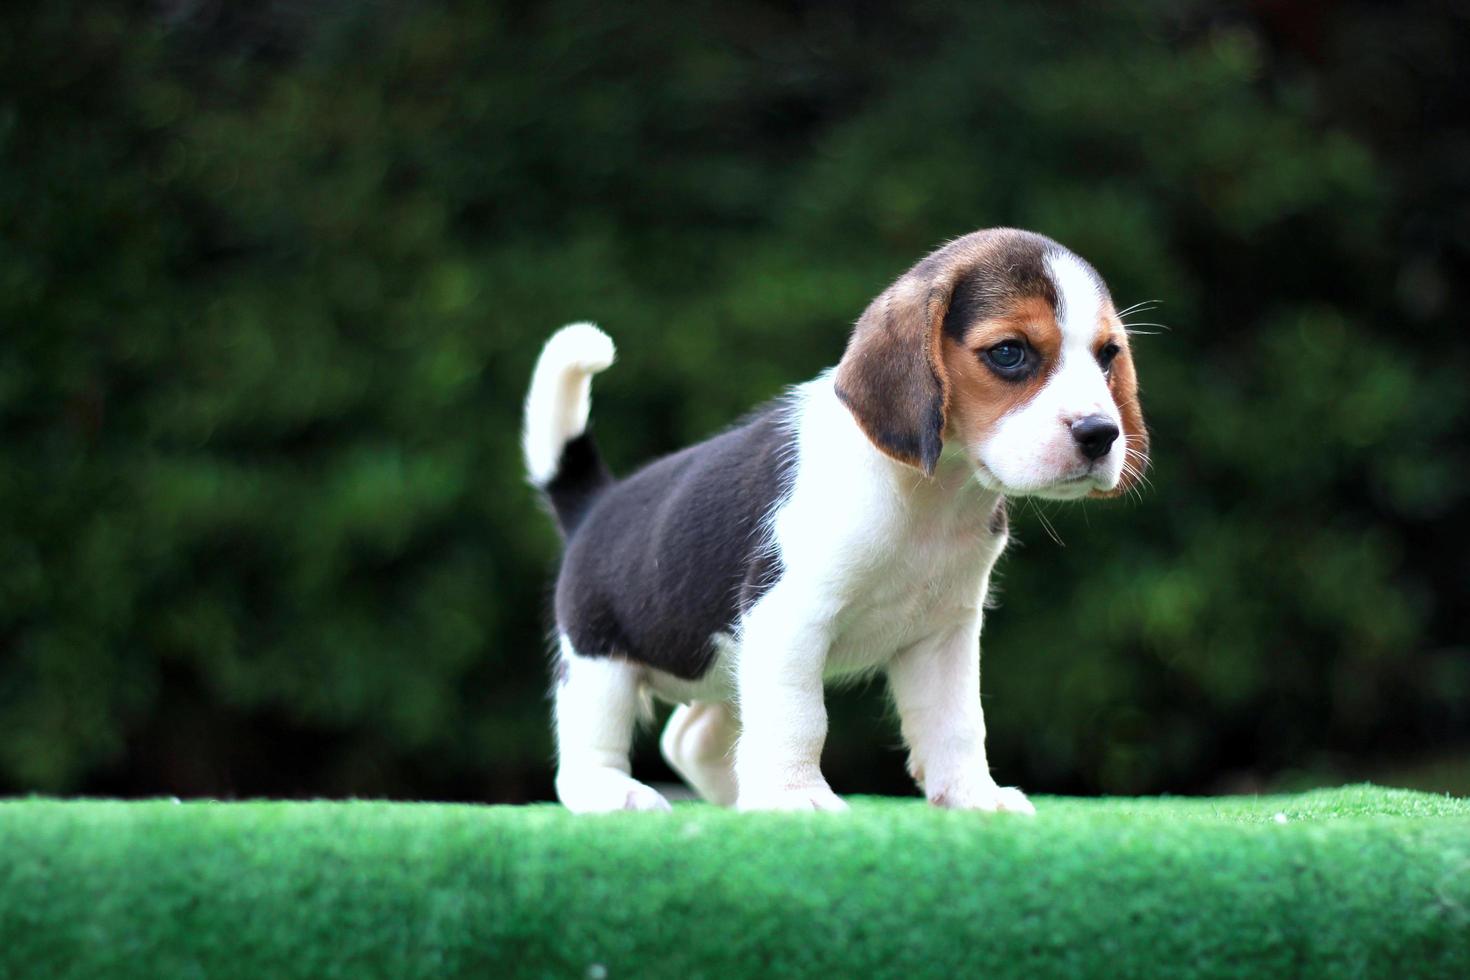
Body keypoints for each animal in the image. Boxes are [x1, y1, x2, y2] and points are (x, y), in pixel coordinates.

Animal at [526, 227, 1146, 811]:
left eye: (1108, 355)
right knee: (586, 754)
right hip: (598, 662)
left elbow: (958, 724)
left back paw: (740, 799)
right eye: (1010, 352)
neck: (930, 497)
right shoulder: (788, 619)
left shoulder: (944, 634)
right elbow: (800, 719)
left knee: (690, 739)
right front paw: (798, 798)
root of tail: (594, 505)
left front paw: (974, 797)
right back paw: (617, 793)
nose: (1101, 433)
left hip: (723, 664)